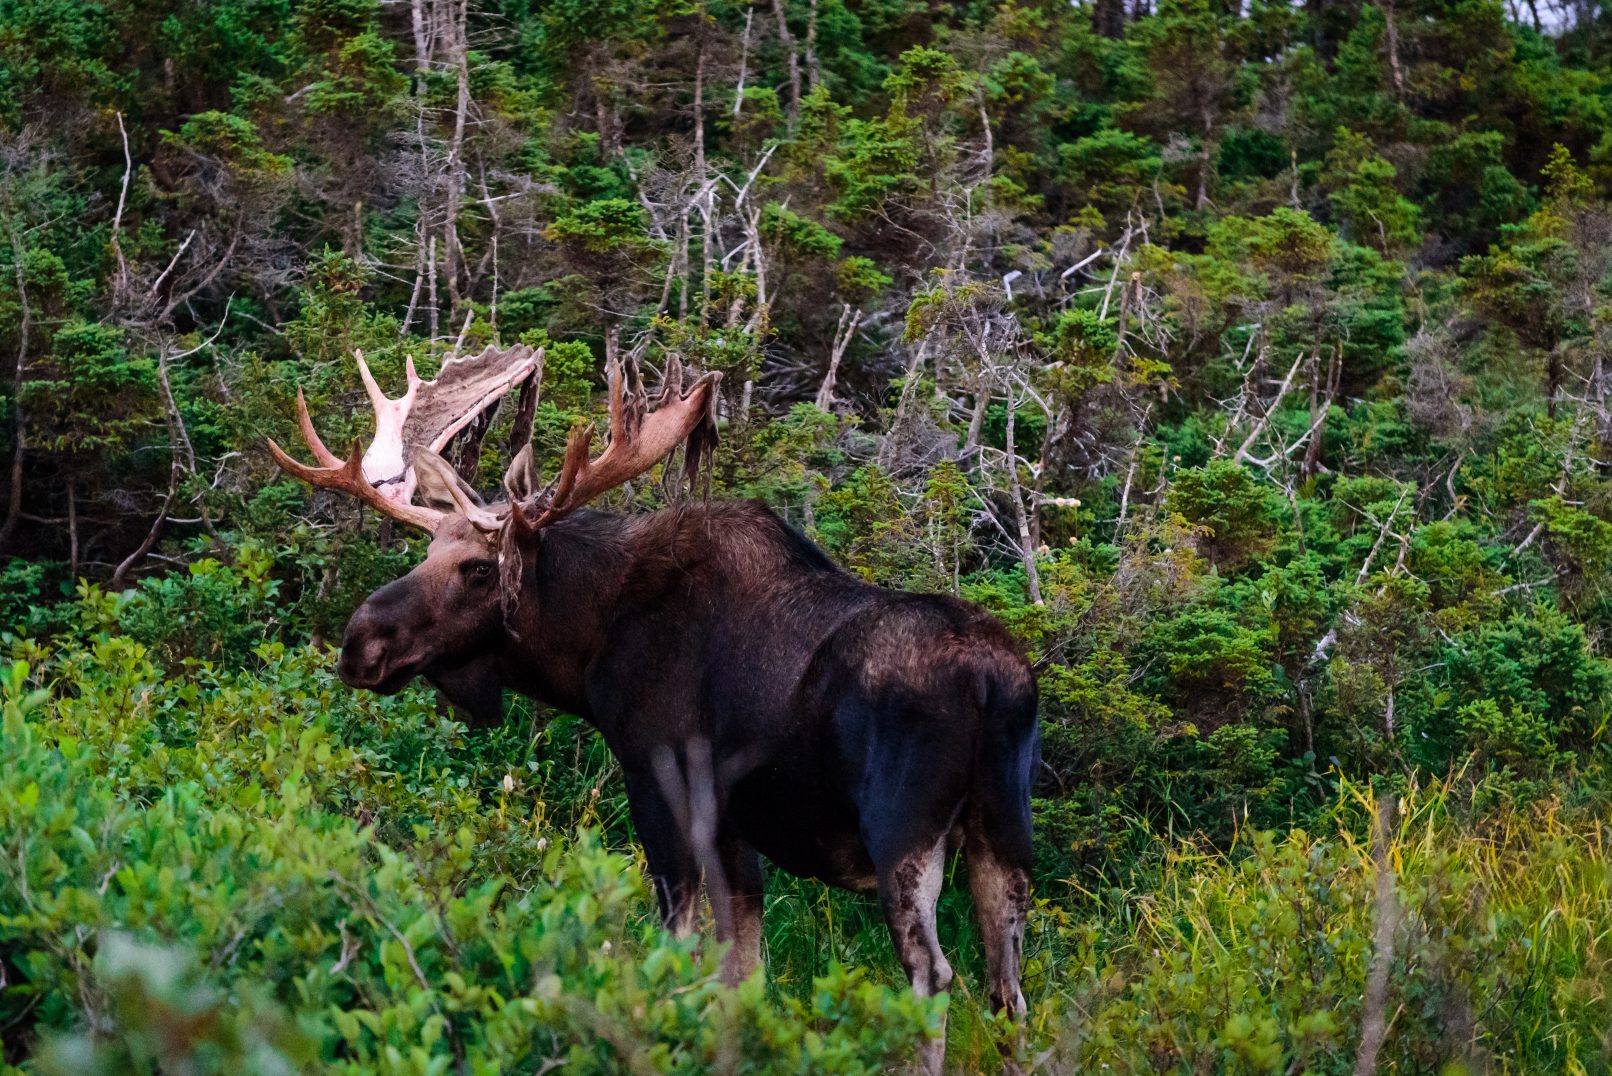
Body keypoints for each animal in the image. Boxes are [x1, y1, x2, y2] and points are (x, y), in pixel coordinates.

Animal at [270, 345, 1038, 1071]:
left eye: (480, 568)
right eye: (426, 551)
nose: (360, 642)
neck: (587, 645)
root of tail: (995, 686)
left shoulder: (659, 781)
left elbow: (677, 949)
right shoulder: (733, 824)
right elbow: (740, 969)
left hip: (902, 832)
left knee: (933, 975)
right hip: (1003, 831)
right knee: (1008, 989)